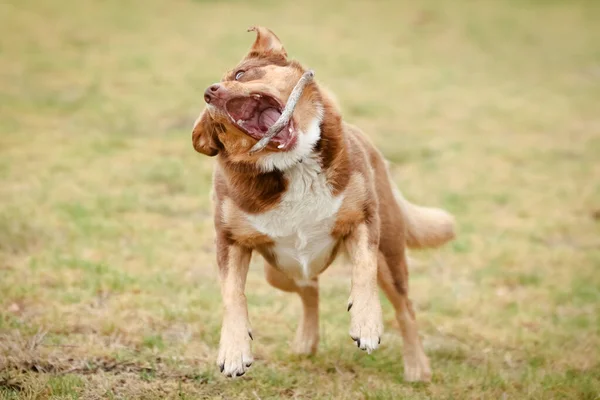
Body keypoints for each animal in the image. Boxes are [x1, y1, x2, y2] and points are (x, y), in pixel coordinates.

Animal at [192, 25, 454, 382]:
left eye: (241, 74)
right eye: (216, 124)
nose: (209, 91)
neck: (293, 165)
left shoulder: (363, 219)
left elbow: (363, 269)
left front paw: (366, 323)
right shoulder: (230, 240)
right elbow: (232, 294)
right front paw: (234, 351)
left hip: (390, 256)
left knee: (405, 307)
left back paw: (417, 367)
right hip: (279, 272)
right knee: (310, 288)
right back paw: (306, 341)